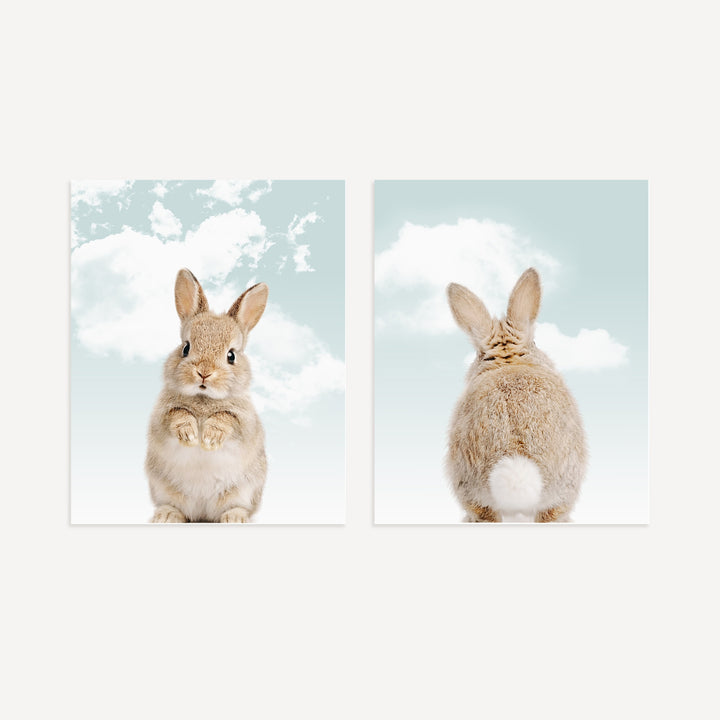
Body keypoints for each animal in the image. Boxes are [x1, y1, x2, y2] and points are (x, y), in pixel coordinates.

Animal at [145, 268, 268, 523]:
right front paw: (190, 435)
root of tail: (203, 513)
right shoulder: (162, 416)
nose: (204, 372)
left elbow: (226, 419)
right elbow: (178, 415)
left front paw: (209, 438)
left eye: (231, 355)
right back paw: (166, 516)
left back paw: (235, 518)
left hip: (245, 491)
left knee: (236, 507)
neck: (204, 399)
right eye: (186, 348)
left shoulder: (244, 422)